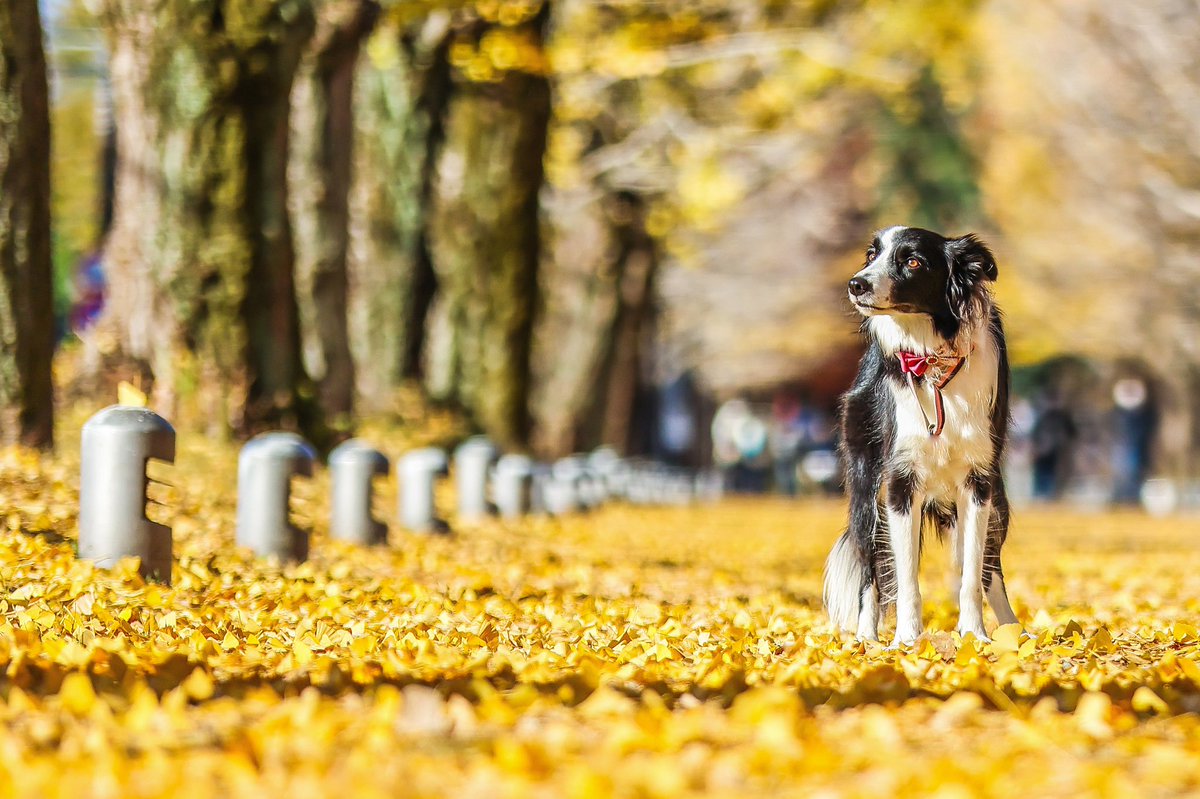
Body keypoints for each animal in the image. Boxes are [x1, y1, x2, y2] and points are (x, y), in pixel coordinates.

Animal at [830, 221, 1017, 643]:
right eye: (872, 255)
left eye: (913, 261)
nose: (856, 283)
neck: (932, 358)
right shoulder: (901, 480)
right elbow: (905, 578)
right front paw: (907, 640)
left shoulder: (979, 481)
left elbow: (972, 574)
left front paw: (975, 635)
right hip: (867, 492)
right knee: (870, 571)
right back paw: (866, 639)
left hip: (999, 500)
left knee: (990, 569)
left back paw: (1015, 631)